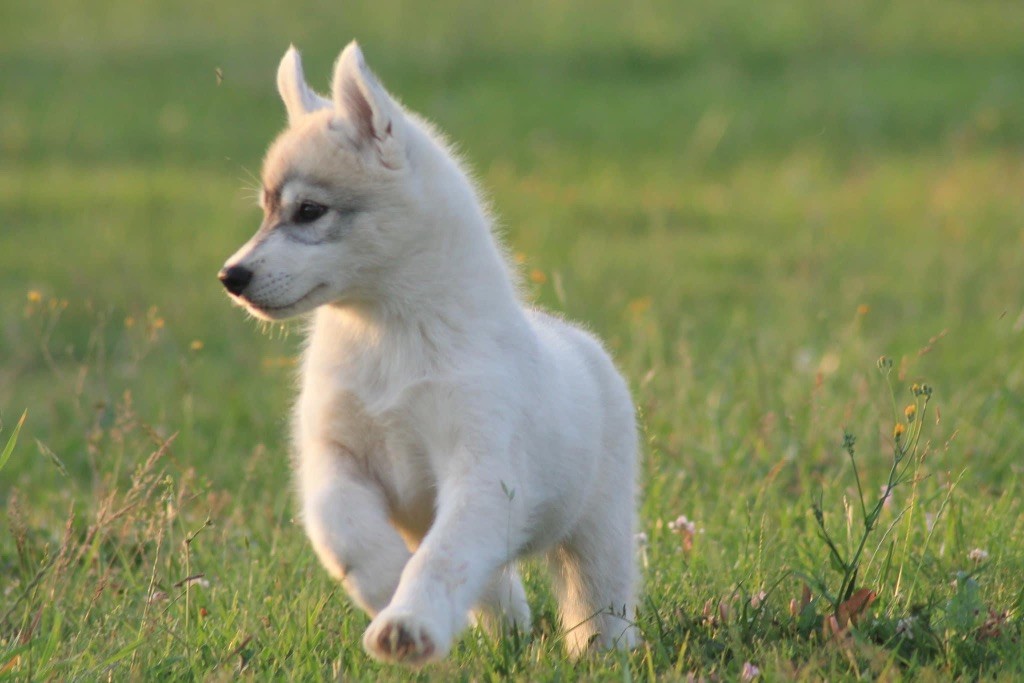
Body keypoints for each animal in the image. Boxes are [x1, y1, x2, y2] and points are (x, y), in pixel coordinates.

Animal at [221, 42, 638, 667]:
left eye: (309, 211)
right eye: (267, 210)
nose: (231, 276)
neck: (391, 337)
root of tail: (580, 340)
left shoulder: (481, 472)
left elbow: (442, 559)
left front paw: (408, 622)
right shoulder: (333, 455)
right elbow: (343, 529)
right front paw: (387, 583)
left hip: (599, 529)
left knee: (599, 597)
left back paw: (602, 654)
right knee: (496, 587)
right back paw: (506, 631)